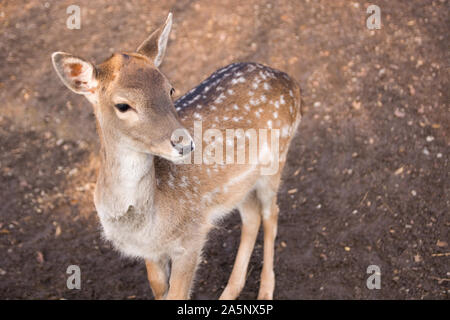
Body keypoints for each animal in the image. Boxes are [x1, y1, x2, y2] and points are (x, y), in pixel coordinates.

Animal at [51, 13, 302, 300]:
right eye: (123, 105)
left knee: (271, 213)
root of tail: (292, 83)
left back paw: (265, 291)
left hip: (276, 159)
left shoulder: (191, 236)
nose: (184, 144)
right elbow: (159, 288)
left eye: (170, 89)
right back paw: (229, 291)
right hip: (240, 184)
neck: (148, 222)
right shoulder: (151, 251)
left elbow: (178, 294)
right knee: (252, 216)